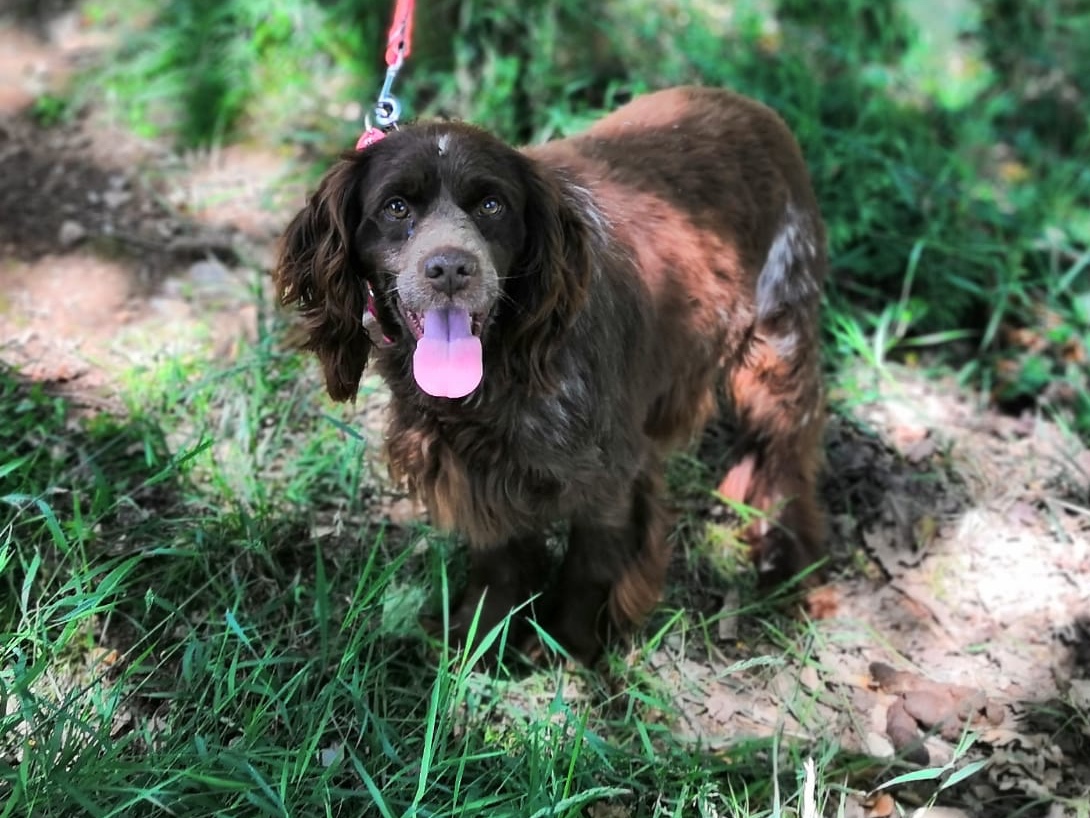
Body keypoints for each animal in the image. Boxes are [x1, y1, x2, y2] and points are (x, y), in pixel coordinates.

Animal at [274, 86, 827, 664]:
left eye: (491, 205)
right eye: (396, 207)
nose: (449, 269)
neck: (500, 373)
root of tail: (749, 105)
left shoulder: (612, 473)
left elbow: (591, 567)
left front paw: (569, 646)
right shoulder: (476, 472)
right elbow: (499, 562)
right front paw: (479, 640)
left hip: (778, 343)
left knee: (788, 457)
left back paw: (788, 563)